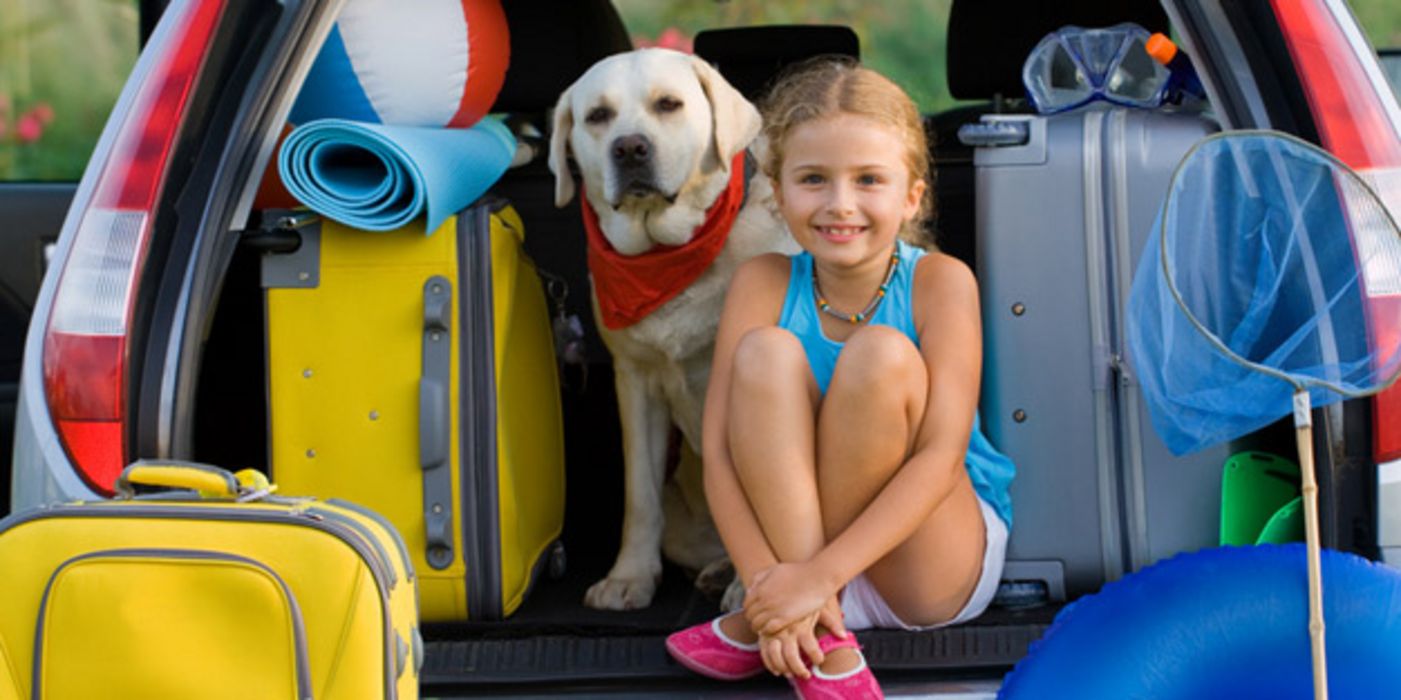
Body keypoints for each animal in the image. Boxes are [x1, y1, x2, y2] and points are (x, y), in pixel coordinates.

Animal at [546, 47, 795, 613]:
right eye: (597, 116)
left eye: (668, 104)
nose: (630, 148)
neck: (669, 255)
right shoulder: (635, 382)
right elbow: (639, 495)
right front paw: (629, 578)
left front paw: (751, 589)